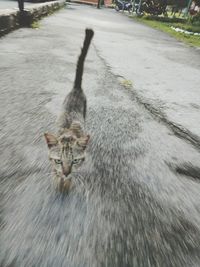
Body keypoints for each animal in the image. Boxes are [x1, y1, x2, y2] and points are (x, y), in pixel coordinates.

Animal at [44, 28, 94, 193]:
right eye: (59, 161)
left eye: (75, 161)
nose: (66, 173)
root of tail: (77, 88)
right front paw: (58, 179)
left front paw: (67, 183)